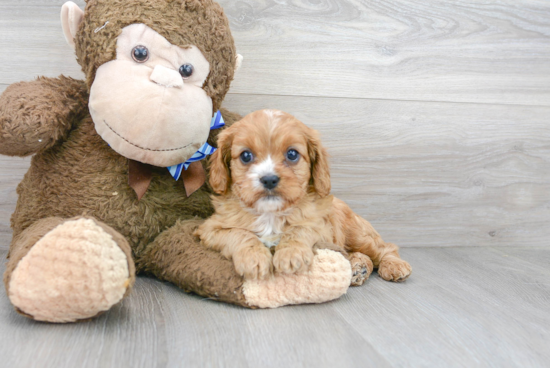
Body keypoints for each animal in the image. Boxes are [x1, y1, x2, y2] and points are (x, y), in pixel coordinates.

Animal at [196, 110, 412, 284]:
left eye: (292, 154)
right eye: (246, 156)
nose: (269, 179)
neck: (271, 214)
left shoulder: (321, 226)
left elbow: (299, 229)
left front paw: (291, 254)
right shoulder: (211, 229)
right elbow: (240, 233)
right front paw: (253, 258)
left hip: (357, 234)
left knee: (385, 248)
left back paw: (394, 266)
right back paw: (359, 267)